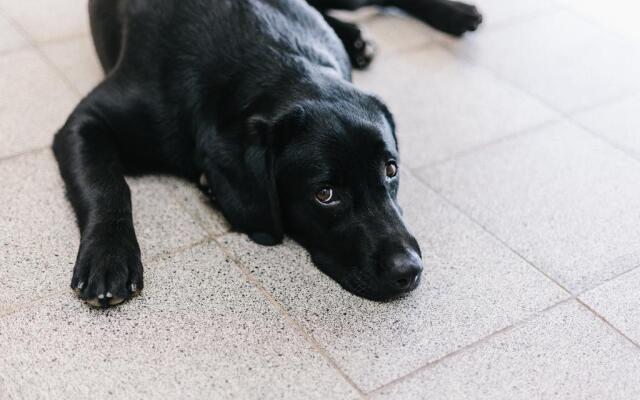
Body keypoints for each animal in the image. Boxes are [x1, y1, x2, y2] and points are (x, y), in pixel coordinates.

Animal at [53, 0, 480, 306]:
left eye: (391, 170)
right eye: (325, 194)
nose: (409, 270)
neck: (271, 61)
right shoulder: (84, 122)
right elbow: (108, 186)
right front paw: (109, 256)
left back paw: (457, 15)